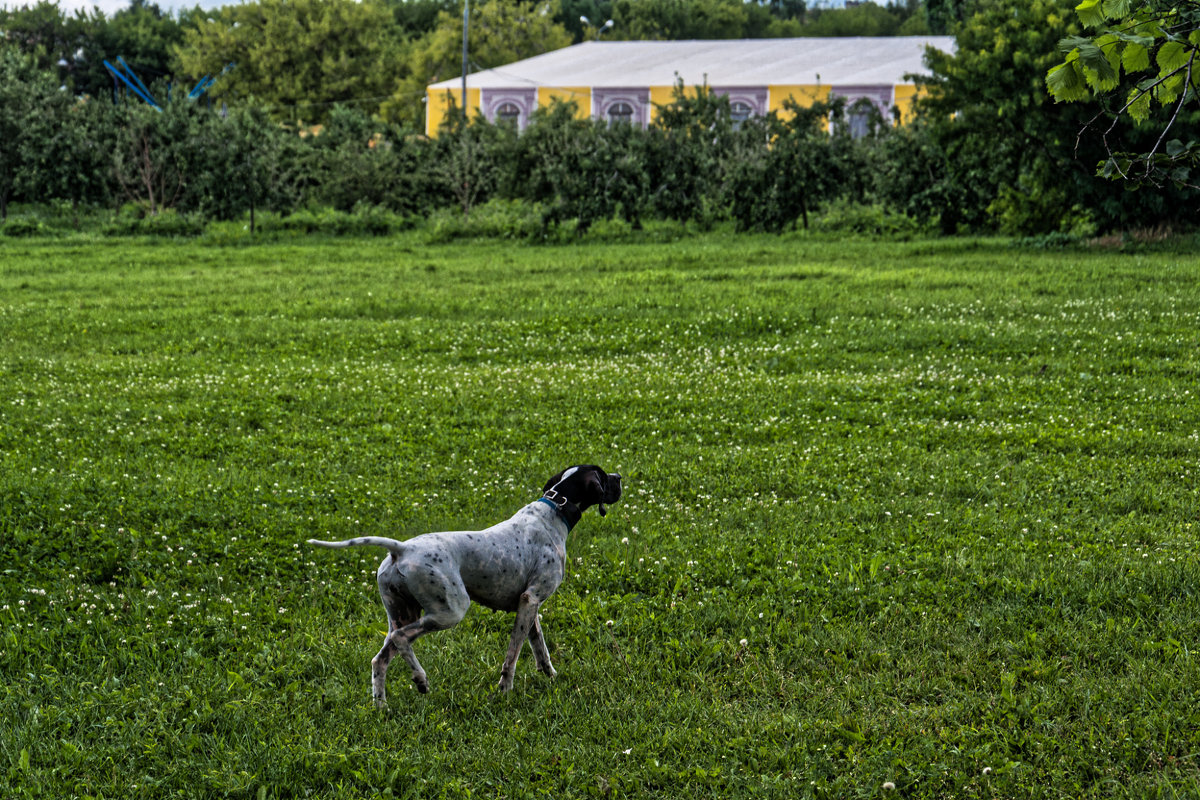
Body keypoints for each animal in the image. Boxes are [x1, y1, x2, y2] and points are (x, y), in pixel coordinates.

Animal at [304, 465, 624, 705]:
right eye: (603, 475)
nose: (620, 477)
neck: (556, 508)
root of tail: (402, 549)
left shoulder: (529, 607)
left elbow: (539, 649)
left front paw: (551, 677)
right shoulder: (530, 600)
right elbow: (512, 656)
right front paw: (504, 690)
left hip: (403, 613)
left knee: (380, 659)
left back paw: (381, 706)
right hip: (450, 611)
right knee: (401, 639)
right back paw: (421, 680)